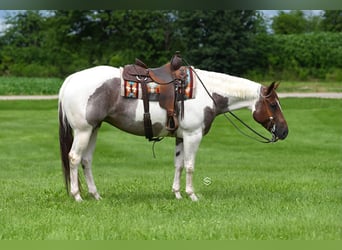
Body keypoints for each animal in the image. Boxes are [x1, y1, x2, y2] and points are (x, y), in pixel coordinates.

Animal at [58, 64, 288, 201]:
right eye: (273, 105)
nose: (284, 131)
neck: (207, 92)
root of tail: (70, 80)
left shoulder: (180, 136)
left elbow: (178, 165)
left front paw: (177, 194)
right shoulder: (193, 135)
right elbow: (190, 166)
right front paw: (192, 195)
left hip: (93, 129)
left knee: (86, 160)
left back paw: (96, 195)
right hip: (83, 130)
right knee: (74, 158)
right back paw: (77, 196)